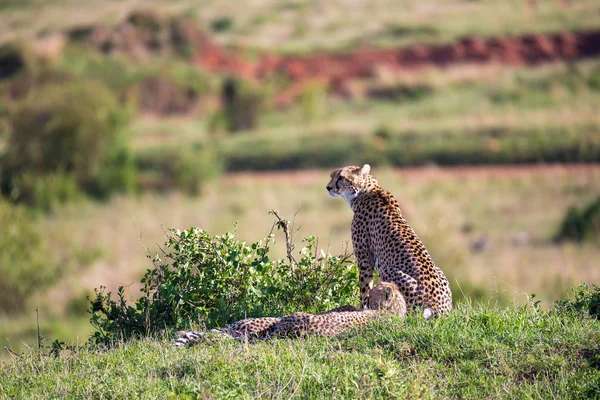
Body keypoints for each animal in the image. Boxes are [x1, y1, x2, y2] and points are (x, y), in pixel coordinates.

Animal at [328, 163, 450, 318]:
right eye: (332, 176)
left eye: (341, 178)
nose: (328, 187)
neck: (364, 191)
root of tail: (440, 308)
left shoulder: (364, 259)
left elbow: (365, 288)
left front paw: (361, 309)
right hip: (439, 271)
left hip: (388, 270)